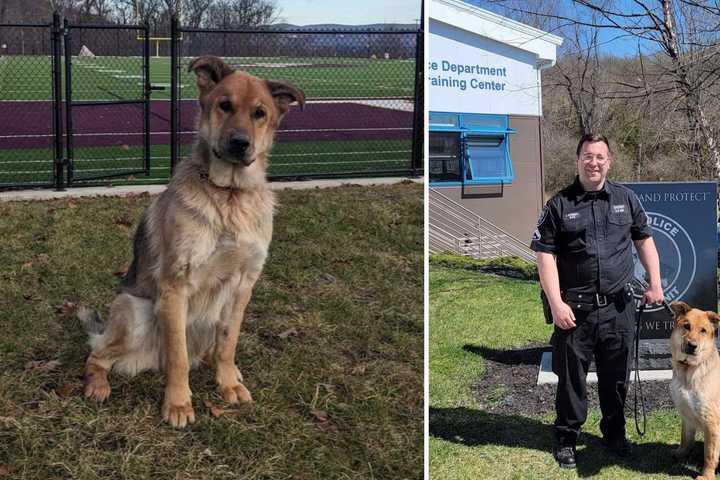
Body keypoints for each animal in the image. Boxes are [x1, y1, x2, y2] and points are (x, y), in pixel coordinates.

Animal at [81, 55, 304, 428]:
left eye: (260, 113)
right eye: (224, 105)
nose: (240, 143)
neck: (229, 194)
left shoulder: (243, 285)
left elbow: (228, 344)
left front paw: (227, 384)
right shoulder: (175, 287)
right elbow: (179, 357)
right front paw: (178, 403)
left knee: (213, 348)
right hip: (135, 311)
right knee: (97, 355)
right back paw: (98, 385)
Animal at [528, 132, 664, 468]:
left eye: (599, 157)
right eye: (589, 157)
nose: (594, 164)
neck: (593, 195)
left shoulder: (636, 219)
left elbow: (642, 235)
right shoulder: (547, 226)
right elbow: (546, 249)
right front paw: (566, 446)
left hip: (619, 342)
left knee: (614, 386)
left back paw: (616, 438)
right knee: (570, 387)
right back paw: (566, 445)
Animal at [672, 302, 720, 478]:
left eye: (703, 330)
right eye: (686, 326)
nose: (692, 346)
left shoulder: (712, 422)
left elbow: (710, 454)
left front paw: (706, 476)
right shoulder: (686, 414)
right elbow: (685, 438)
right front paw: (680, 453)